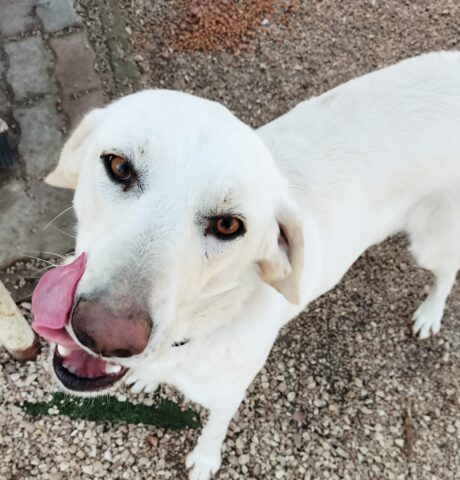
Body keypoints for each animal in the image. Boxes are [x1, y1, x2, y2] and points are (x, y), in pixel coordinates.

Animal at [32, 50, 460, 478]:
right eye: (119, 166)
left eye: (228, 225)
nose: (104, 335)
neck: (197, 330)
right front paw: (145, 379)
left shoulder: (228, 394)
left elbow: (214, 430)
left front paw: (204, 461)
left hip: (431, 242)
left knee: (446, 273)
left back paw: (429, 314)